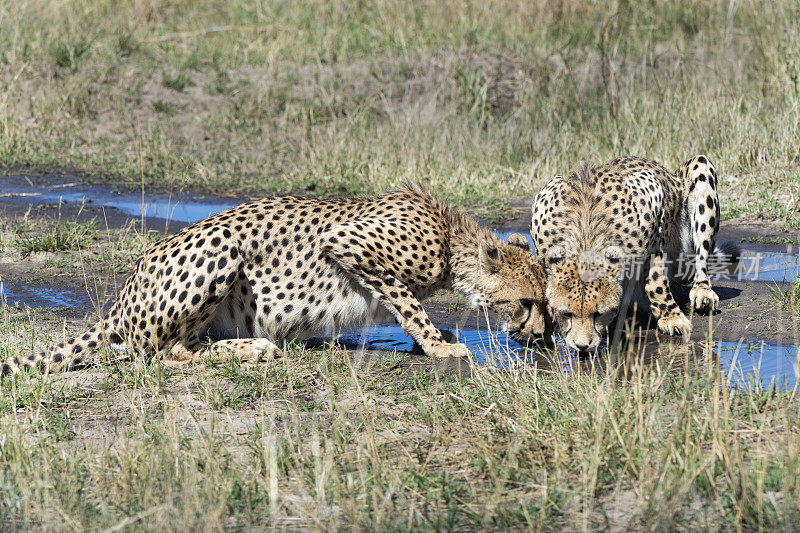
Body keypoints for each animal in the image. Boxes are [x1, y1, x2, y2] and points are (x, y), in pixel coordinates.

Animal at [1, 187, 552, 374]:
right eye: (528, 301)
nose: (539, 336)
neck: (451, 239)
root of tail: (121, 297)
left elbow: (405, 306)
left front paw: (432, 339)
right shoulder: (349, 244)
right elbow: (407, 302)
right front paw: (439, 346)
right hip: (221, 248)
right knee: (165, 352)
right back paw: (253, 348)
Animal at [528, 155, 740, 354]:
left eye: (598, 314)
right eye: (566, 314)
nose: (582, 346)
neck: (586, 233)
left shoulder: (652, 195)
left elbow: (656, 282)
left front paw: (671, 317)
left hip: (700, 169)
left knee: (701, 261)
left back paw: (702, 291)